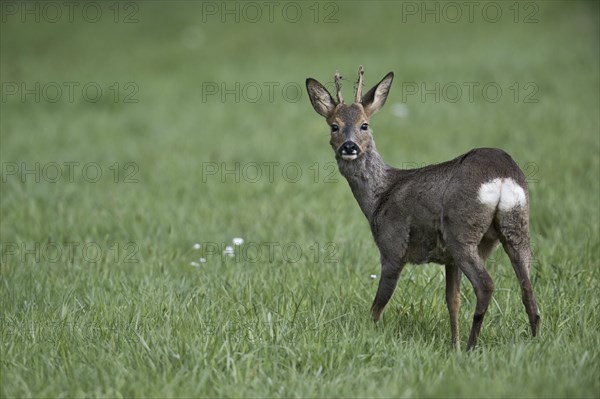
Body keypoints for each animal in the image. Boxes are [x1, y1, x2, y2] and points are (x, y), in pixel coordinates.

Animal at [304, 67, 540, 352]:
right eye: (334, 125)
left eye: (364, 124)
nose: (349, 147)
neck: (380, 197)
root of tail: (503, 175)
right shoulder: (448, 260)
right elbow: (452, 301)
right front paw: (453, 345)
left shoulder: (392, 246)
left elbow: (378, 305)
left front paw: (369, 336)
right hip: (516, 225)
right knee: (528, 289)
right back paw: (534, 341)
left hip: (461, 231)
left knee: (486, 285)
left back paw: (473, 346)